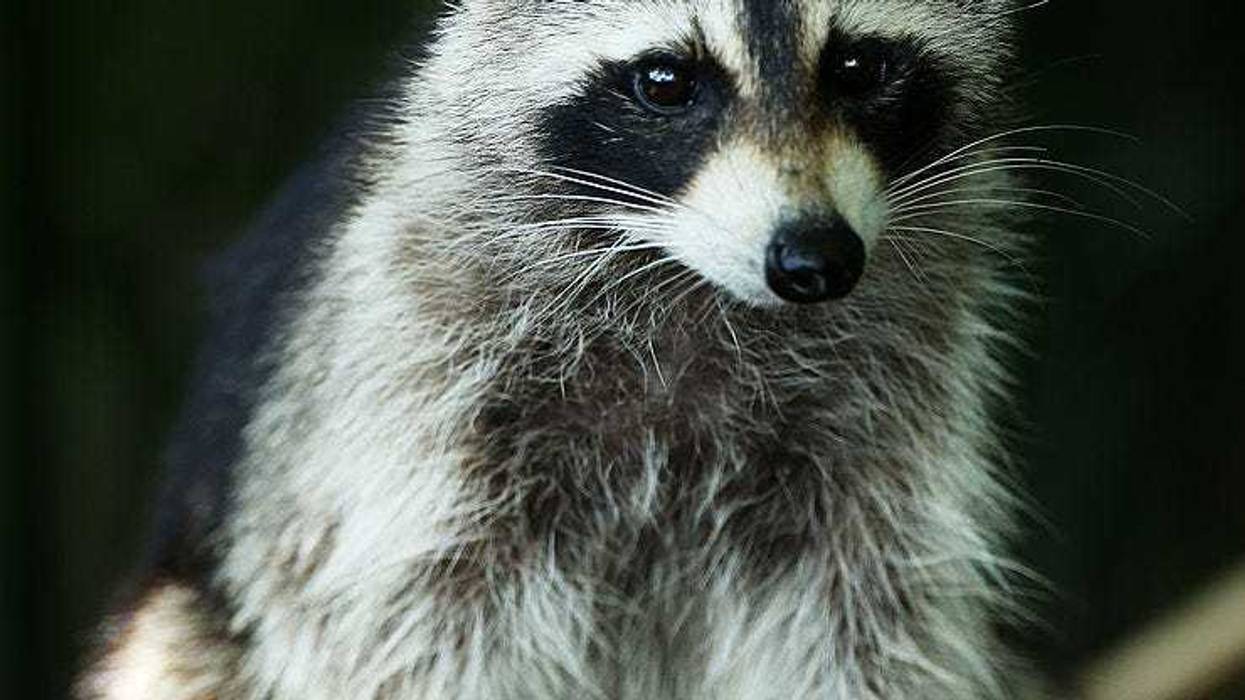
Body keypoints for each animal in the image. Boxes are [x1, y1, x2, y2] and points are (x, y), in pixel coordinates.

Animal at [81, 0, 1039, 697]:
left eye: (857, 67)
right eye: (666, 80)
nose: (814, 260)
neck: (687, 275)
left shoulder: (886, 417)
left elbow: (872, 620)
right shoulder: (407, 372)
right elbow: (414, 627)